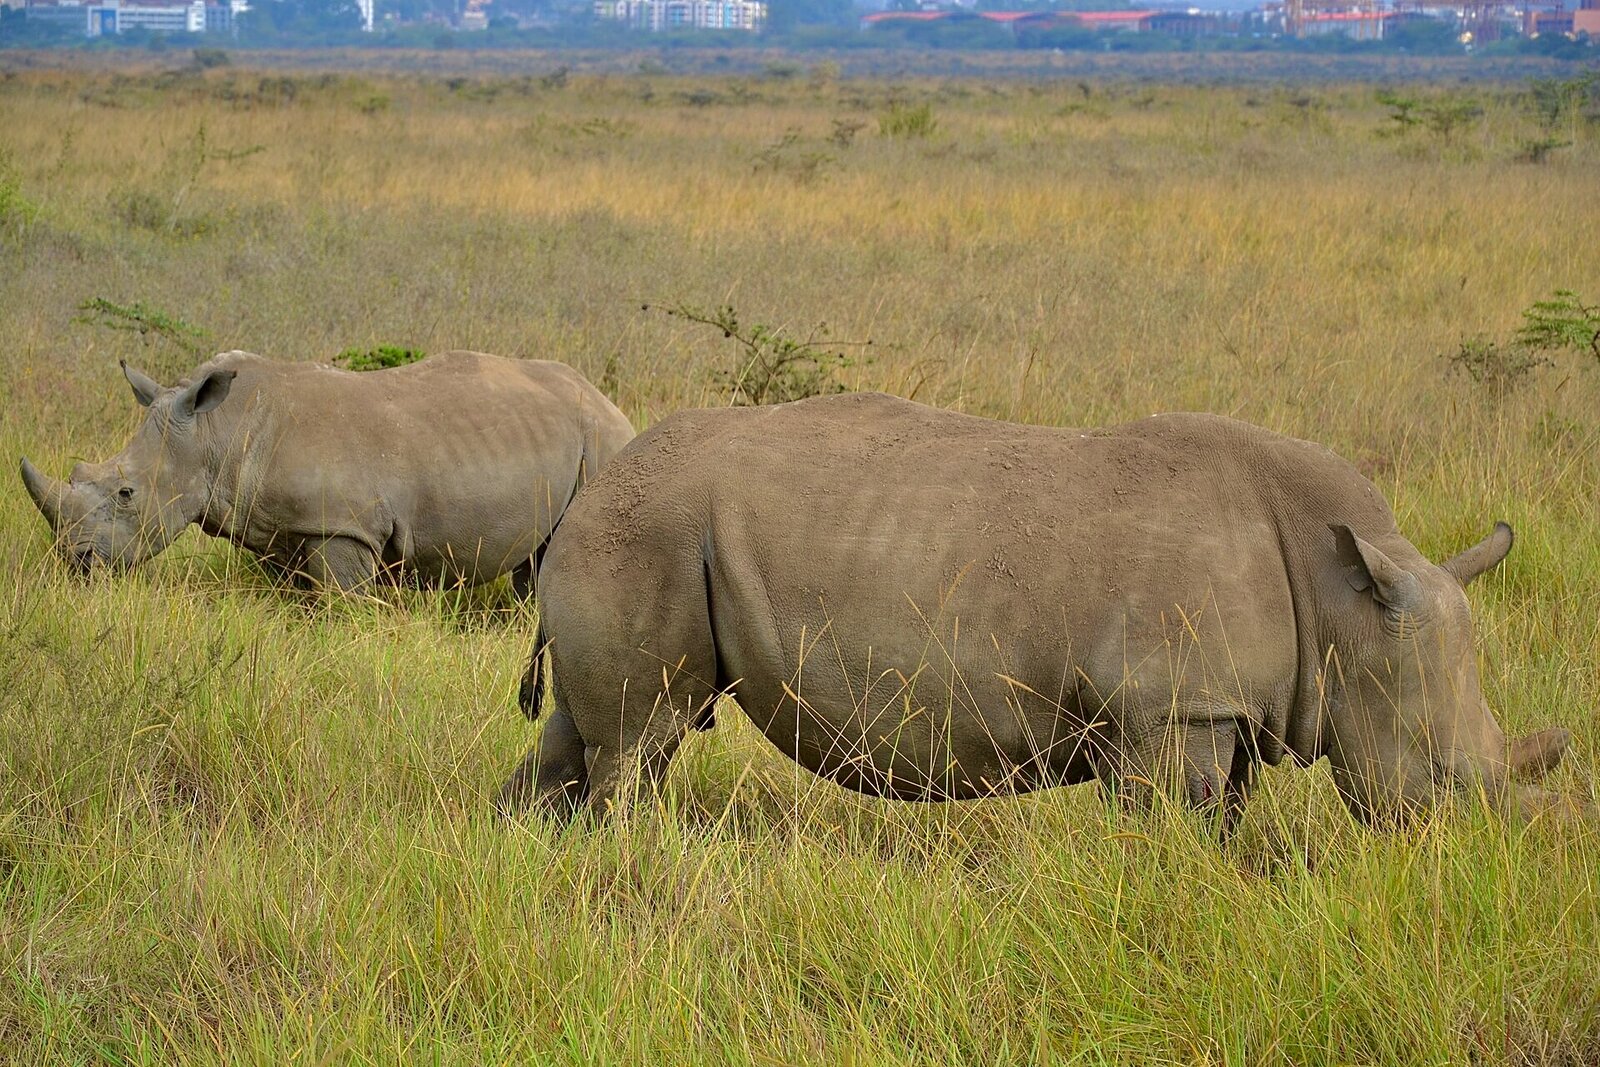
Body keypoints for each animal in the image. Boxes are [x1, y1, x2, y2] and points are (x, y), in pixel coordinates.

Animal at [20, 350, 635, 593]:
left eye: (126, 492)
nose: (75, 563)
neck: (217, 433)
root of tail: (612, 405)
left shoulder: (343, 526)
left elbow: (343, 604)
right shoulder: (281, 529)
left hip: (603, 442)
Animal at [497, 392, 1585, 830]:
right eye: (1448, 782)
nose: (1463, 865)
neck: (1341, 595)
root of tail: (587, 489)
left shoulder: (1218, 705)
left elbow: (1229, 824)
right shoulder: (1173, 707)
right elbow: (1178, 827)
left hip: (634, 537)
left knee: (589, 735)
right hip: (649, 531)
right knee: (641, 737)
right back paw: (632, 855)